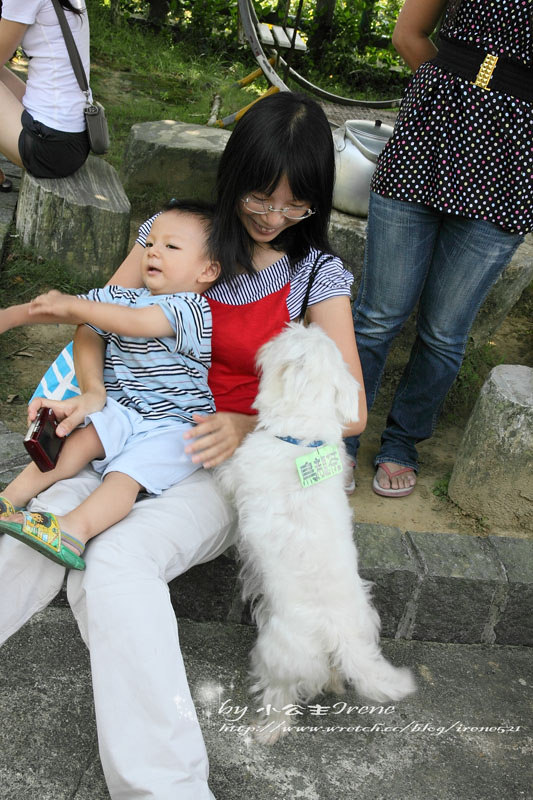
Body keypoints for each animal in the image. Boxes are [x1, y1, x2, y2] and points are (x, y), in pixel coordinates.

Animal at [216, 320, 416, 744]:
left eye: (286, 339)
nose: (301, 321)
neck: (303, 440)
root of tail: (340, 635)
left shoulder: (237, 473)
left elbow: (225, 473)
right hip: (362, 624)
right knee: (334, 673)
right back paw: (336, 685)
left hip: (277, 653)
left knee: (281, 699)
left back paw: (266, 730)